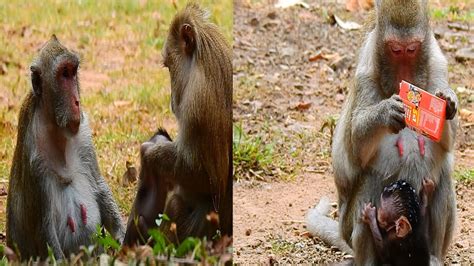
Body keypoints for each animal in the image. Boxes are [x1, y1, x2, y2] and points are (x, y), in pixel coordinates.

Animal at [6, 35, 125, 260]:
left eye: (73, 72)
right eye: (63, 74)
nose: (77, 102)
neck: (56, 130)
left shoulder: (83, 137)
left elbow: (99, 186)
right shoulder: (34, 157)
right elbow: (43, 225)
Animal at [123, 3, 232, 246]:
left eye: (168, 66)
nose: (172, 100)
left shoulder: (197, 102)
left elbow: (206, 179)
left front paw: (150, 151)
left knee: (177, 202)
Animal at [308, 0, 460, 262]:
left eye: (412, 49)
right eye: (395, 50)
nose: (404, 76)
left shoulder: (438, 65)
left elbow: (445, 145)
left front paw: (448, 103)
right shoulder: (365, 75)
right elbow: (355, 149)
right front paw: (386, 112)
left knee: (442, 177)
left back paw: (433, 257)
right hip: (350, 227)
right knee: (369, 181)